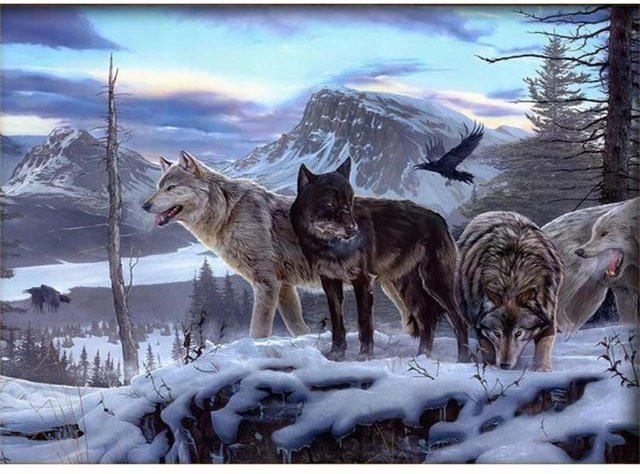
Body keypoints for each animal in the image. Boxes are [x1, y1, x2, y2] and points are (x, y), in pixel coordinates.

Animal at [142, 151, 317, 338]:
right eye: (158, 187)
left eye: (171, 187)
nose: (145, 206)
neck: (227, 212)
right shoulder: (283, 285)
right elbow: (299, 328)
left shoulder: (266, 282)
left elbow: (258, 330)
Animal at [290, 157, 470, 361]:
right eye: (329, 203)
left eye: (349, 201)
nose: (353, 229)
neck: (329, 245)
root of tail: (440, 219)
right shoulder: (330, 283)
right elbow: (337, 323)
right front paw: (336, 354)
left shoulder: (362, 281)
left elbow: (364, 323)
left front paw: (364, 356)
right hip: (409, 290)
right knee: (427, 323)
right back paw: (421, 358)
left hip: (435, 284)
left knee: (460, 321)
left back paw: (462, 360)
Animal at [457, 211, 564, 371]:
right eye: (497, 333)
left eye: (518, 333)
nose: (504, 365)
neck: (512, 278)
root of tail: (493, 212)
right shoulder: (480, 320)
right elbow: (487, 348)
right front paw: (490, 367)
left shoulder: (548, 311)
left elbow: (545, 342)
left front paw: (541, 369)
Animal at [542, 197, 638, 332]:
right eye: (596, 233)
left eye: (604, 233)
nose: (580, 251)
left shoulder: (625, 289)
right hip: (582, 270)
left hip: (593, 295)